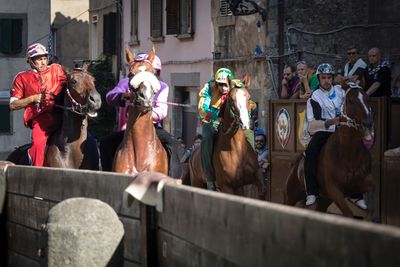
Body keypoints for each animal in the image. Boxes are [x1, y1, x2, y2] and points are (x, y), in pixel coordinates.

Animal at [284, 84, 376, 220]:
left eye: (367, 98)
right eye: (351, 100)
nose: (368, 123)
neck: (348, 154)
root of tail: (295, 165)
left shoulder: (366, 182)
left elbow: (370, 209)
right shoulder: (335, 190)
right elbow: (348, 214)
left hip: (324, 199)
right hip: (291, 196)